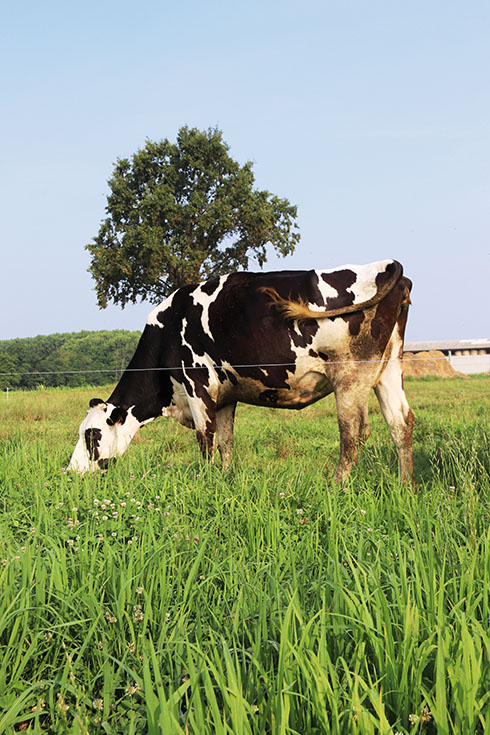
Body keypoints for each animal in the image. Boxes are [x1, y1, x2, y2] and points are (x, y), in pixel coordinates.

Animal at [69, 258, 414, 484]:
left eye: (92, 434)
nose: (71, 471)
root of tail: (385, 265)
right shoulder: (224, 397)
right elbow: (225, 442)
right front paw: (224, 479)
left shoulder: (198, 384)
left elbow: (205, 440)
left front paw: (206, 482)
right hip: (388, 368)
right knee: (401, 423)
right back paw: (405, 487)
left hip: (350, 374)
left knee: (353, 430)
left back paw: (337, 485)